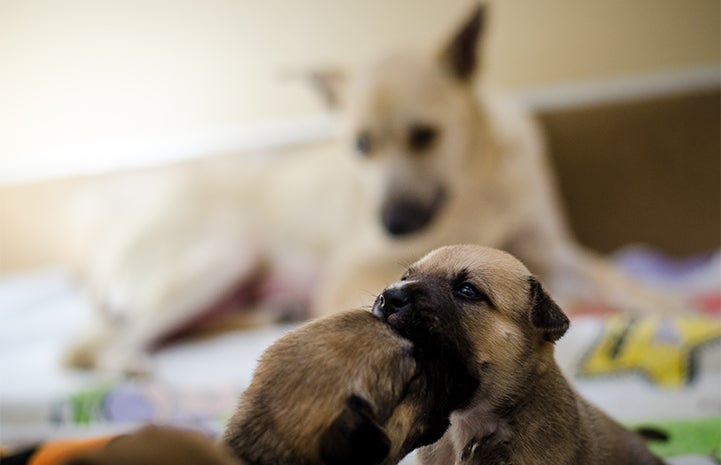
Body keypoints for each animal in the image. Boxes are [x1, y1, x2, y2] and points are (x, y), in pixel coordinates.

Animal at [66, 3, 676, 374]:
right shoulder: (357, 275)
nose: (392, 224)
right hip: (225, 255)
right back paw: (132, 364)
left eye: (425, 135)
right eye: (359, 145)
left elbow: (612, 274)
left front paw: (667, 305)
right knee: (103, 346)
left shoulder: (551, 249)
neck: (472, 188)